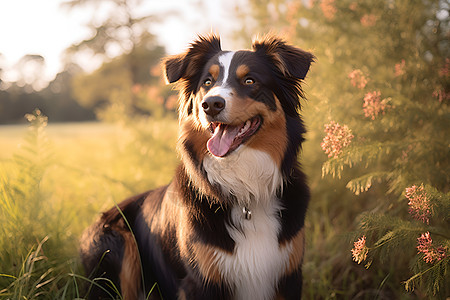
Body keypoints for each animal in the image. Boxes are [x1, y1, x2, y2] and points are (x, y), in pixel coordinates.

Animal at [80, 34, 312, 298]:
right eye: (207, 82)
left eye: (249, 80)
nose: (211, 104)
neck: (246, 192)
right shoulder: (199, 281)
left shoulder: (289, 275)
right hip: (115, 242)